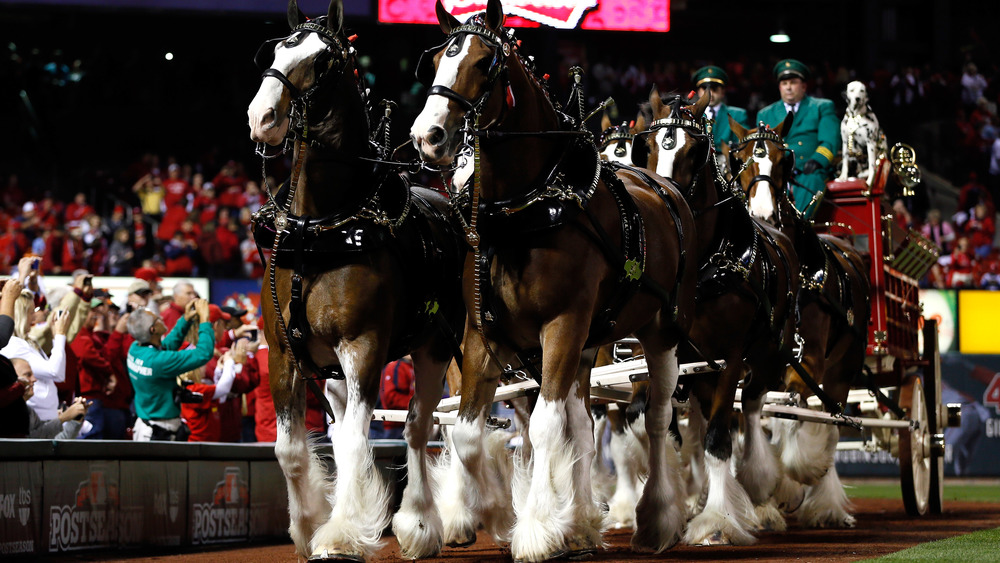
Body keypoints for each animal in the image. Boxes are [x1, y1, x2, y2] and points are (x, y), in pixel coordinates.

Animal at [250, 0, 468, 560]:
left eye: (323, 60)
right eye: (275, 52)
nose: (262, 118)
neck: (322, 227)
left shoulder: (363, 345)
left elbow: (354, 442)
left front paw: (342, 532)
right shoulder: (283, 353)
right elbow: (291, 448)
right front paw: (307, 525)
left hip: (437, 347)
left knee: (419, 429)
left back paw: (421, 523)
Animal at [410, 0, 700, 560]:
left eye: (485, 63)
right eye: (434, 61)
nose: (427, 136)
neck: (525, 212)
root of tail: (664, 185)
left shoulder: (562, 325)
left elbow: (545, 428)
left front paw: (538, 528)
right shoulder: (481, 333)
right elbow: (470, 433)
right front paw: (492, 513)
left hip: (659, 333)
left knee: (655, 420)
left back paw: (656, 519)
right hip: (589, 344)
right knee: (584, 426)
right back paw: (584, 522)